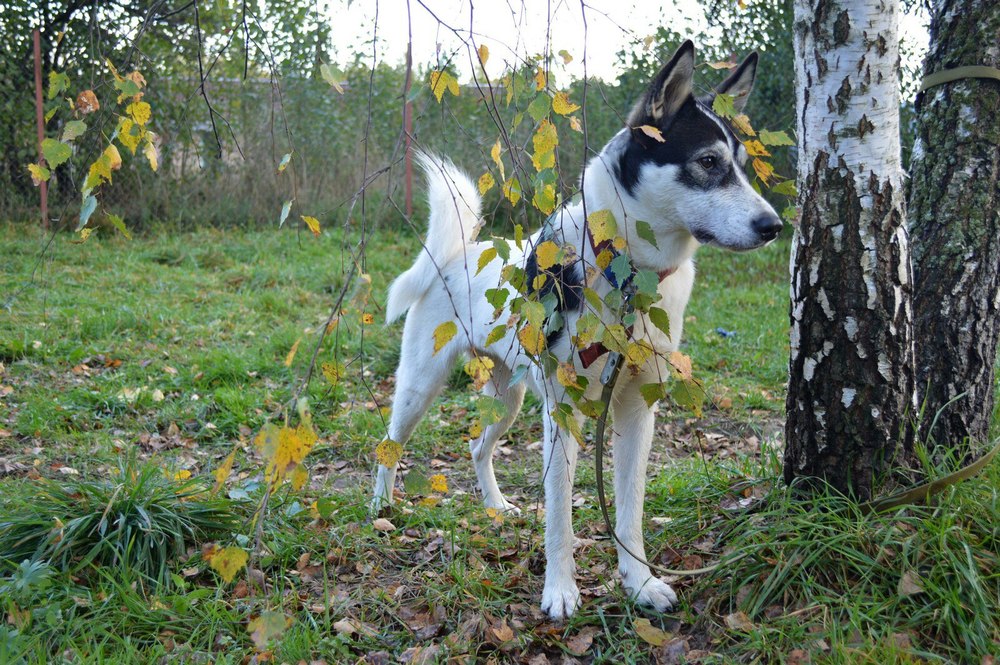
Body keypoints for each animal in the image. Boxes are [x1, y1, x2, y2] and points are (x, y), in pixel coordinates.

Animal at [374, 44, 780, 620]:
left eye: (742, 168)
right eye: (707, 163)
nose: (774, 227)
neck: (627, 274)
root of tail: (455, 254)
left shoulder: (636, 411)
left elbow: (629, 510)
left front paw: (638, 582)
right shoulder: (560, 414)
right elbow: (559, 517)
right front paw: (560, 591)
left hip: (509, 399)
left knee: (478, 447)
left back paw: (495, 507)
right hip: (420, 388)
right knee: (387, 445)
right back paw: (381, 507)